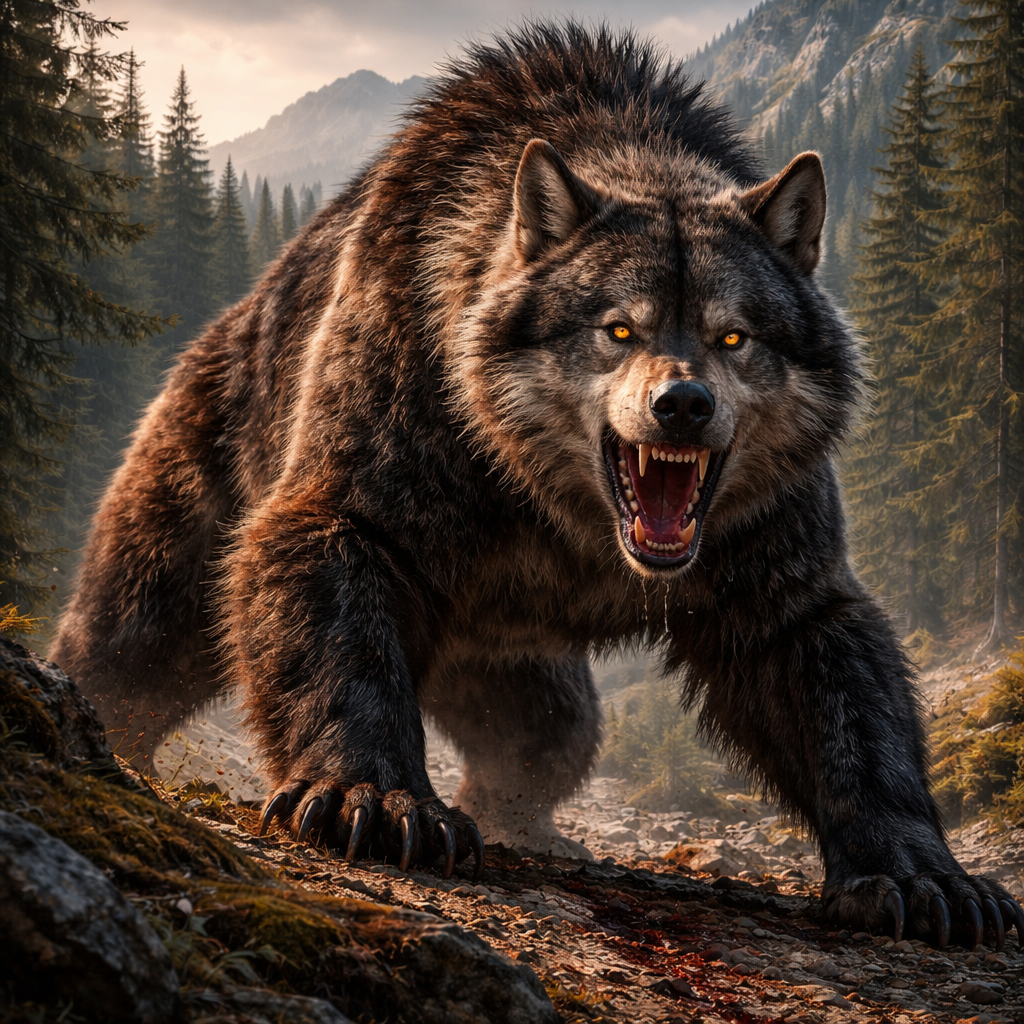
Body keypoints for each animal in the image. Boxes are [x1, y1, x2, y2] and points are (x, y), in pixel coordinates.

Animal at [52, 22, 1022, 948]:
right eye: (619, 328)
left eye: (735, 334)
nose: (683, 406)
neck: (558, 513)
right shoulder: (399, 424)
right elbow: (329, 575)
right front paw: (380, 803)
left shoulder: (766, 538)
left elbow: (837, 681)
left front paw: (924, 877)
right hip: (206, 461)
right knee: (131, 634)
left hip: (513, 661)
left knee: (550, 736)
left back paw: (521, 821)